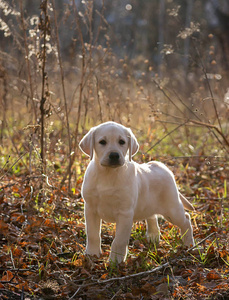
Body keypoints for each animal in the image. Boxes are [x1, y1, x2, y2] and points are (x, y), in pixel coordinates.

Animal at [79, 121, 195, 262]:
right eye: (102, 142)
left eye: (122, 142)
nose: (114, 155)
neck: (108, 174)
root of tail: (162, 166)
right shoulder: (90, 209)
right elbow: (93, 234)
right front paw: (92, 254)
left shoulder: (125, 213)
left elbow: (119, 241)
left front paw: (115, 261)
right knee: (152, 216)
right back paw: (153, 236)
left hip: (172, 209)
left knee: (186, 219)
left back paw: (189, 244)